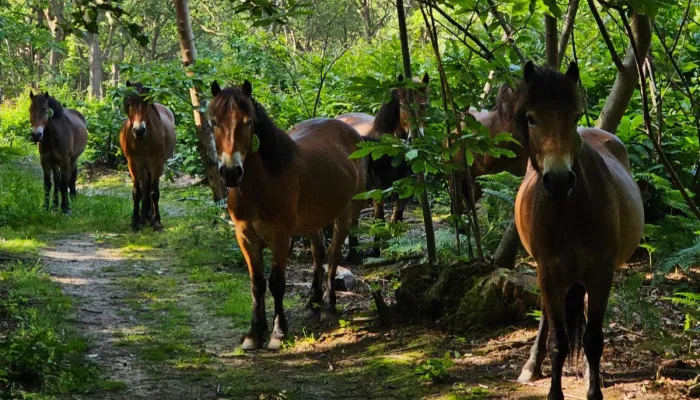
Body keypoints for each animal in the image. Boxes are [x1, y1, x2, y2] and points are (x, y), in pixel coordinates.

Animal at [119, 81, 176, 231]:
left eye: (147, 103)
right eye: (129, 104)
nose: (139, 130)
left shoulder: (156, 163)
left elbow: (154, 192)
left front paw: (156, 221)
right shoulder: (133, 163)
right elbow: (136, 192)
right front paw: (135, 221)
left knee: (149, 187)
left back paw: (149, 216)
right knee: (144, 186)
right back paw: (144, 217)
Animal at [208, 80, 368, 350]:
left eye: (248, 122)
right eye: (214, 122)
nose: (230, 172)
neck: (261, 184)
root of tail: (349, 130)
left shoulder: (281, 237)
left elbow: (277, 283)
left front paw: (278, 332)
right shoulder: (245, 238)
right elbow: (257, 284)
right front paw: (254, 333)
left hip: (345, 215)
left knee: (333, 255)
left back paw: (328, 307)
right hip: (312, 220)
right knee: (318, 252)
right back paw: (312, 303)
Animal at [513, 61, 644, 400]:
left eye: (574, 116)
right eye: (531, 118)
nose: (559, 180)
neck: (569, 212)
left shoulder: (600, 272)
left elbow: (593, 339)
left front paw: (593, 389)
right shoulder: (548, 273)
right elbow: (558, 341)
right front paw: (554, 392)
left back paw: (586, 373)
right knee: (549, 318)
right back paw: (531, 366)